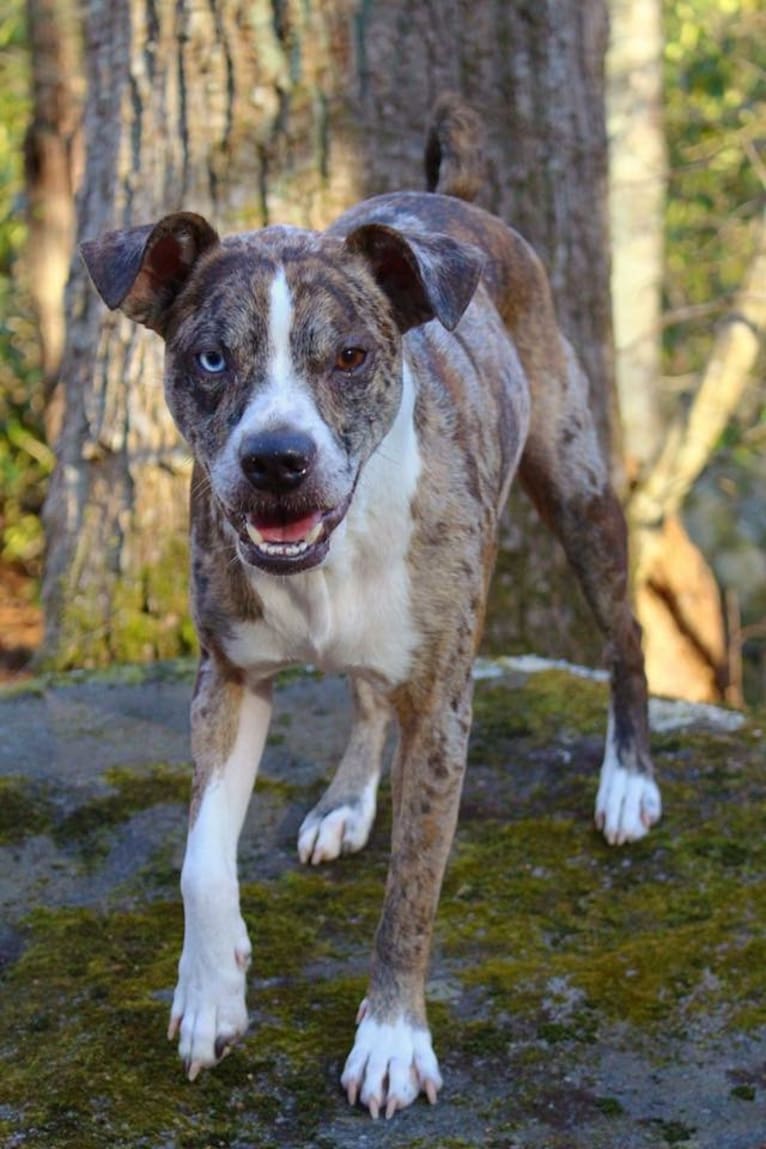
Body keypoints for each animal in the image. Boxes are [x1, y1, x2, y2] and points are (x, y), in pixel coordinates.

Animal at [80, 94, 661, 1116]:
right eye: (211, 357)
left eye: (350, 355)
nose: (277, 459)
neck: (325, 557)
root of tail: (454, 200)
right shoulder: (227, 676)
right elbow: (199, 859)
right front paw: (210, 989)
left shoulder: (443, 708)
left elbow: (412, 890)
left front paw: (391, 1037)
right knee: (361, 694)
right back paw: (346, 802)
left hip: (577, 484)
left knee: (623, 632)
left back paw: (627, 779)